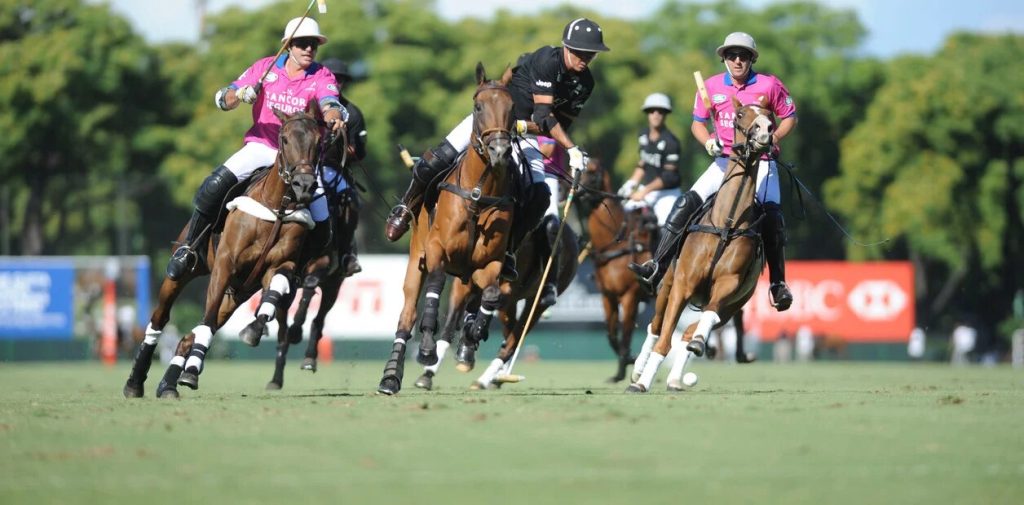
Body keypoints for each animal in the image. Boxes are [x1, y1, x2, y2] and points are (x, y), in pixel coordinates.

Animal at [124, 109, 323, 397]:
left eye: (319, 141)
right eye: (284, 139)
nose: (304, 185)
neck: (278, 208)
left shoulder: (279, 265)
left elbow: (272, 295)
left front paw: (254, 329)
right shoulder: (225, 264)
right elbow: (205, 322)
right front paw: (192, 372)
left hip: (237, 294)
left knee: (189, 335)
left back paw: (168, 385)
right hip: (184, 273)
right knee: (161, 318)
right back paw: (135, 382)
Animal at [376, 61, 516, 393]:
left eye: (512, 107)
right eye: (478, 106)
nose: (500, 151)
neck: (478, 193)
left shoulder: (488, 263)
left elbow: (491, 294)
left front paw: (473, 334)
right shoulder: (436, 249)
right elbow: (435, 285)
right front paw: (427, 346)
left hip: (465, 275)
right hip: (416, 257)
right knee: (407, 314)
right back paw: (391, 376)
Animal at [577, 155, 655, 379]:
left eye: (593, 171)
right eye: (580, 169)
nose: (577, 190)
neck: (615, 242)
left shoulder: (631, 295)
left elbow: (627, 331)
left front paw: (625, 362)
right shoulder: (608, 295)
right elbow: (611, 333)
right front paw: (626, 361)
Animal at [626, 96, 770, 391]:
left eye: (770, 115)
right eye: (740, 115)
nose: (765, 131)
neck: (726, 223)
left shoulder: (728, 285)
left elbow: (706, 318)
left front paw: (699, 344)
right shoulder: (683, 283)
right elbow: (663, 339)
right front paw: (642, 382)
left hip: (733, 306)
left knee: (694, 328)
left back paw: (677, 375)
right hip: (667, 285)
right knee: (656, 326)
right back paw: (638, 374)